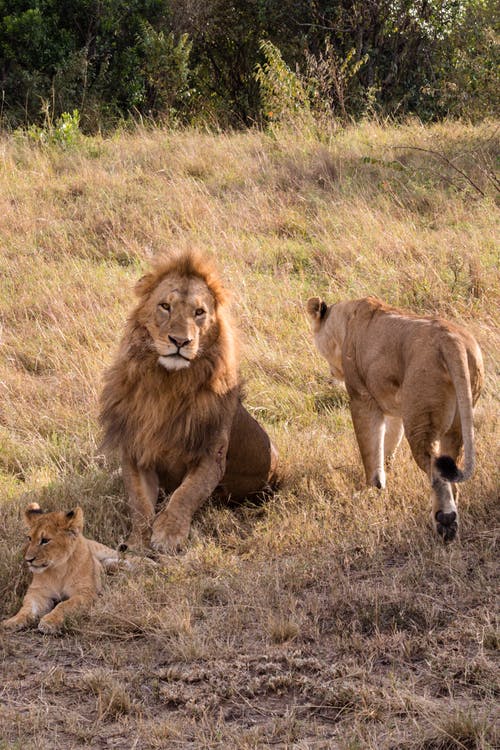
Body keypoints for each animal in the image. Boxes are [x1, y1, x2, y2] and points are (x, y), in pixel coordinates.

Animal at [1, 506, 123, 636]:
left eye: (45, 540)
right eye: (29, 538)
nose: (28, 560)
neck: (57, 569)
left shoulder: (85, 593)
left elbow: (64, 605)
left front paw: (49, 622)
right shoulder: (38, 593)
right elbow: (26, 608)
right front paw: (12, 621)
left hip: (101, 549)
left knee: (123, 555)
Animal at [97, 251, 278, 552]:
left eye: (199, 312)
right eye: (165, 306)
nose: (180, 341)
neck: (168, 385)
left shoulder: (211, 454)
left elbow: (187, 493)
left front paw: (168, 534)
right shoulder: (136, 452)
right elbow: (139, 503)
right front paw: (137, 542)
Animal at [306, 296, 482, 540]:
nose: (331, 373)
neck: (345, 321)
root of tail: (451, 340)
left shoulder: (362, 399)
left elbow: (370, 449)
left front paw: (371, 489)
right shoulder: (396, 406)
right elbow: (388, 442)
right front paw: (384, 478)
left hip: (420, 421)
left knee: (435, 469)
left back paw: (445, 522)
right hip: (457, 421)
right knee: (451, 470)